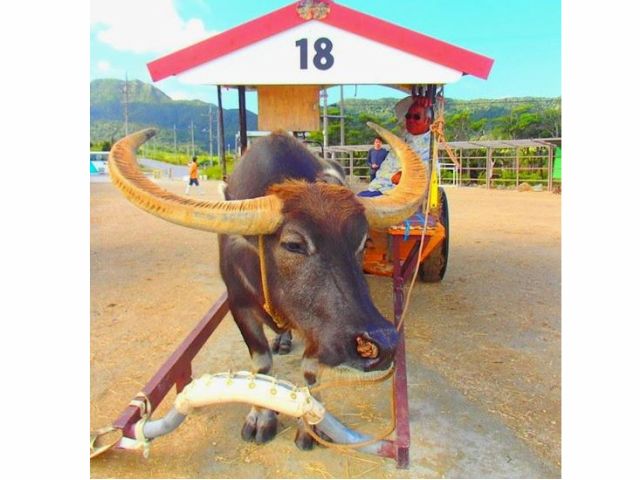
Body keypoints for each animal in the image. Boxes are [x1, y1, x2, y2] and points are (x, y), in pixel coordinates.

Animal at [109, 122, 430, 448]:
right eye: (293, 244)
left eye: (362, 242)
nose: (383, 342)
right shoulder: (238, 305)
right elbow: (261, 365)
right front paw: (260, 418)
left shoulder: (318, 327)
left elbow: (310, 371)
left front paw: (310, 425)